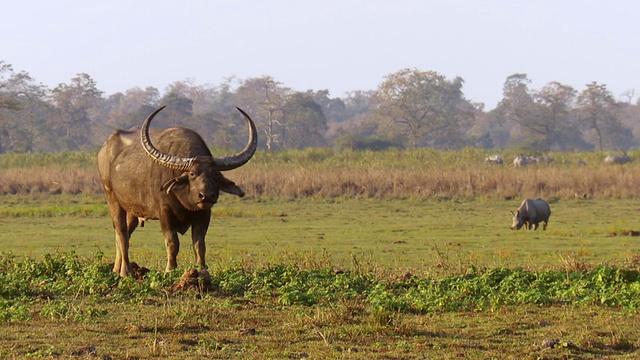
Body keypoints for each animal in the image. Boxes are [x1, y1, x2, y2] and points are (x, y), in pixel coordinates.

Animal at [97, 105, 258, 278]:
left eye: (215, 174)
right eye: (192, 174)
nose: (206, 196)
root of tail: (104, 149)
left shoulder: (204, 214)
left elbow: (199, 243)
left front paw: (202, 270)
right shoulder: (165, 213)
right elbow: (172, 242)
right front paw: (170, 269)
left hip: (132, 210)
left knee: (124, 234)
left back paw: (116, 269)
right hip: (112, 197)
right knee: (121, 234)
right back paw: (126, 272)